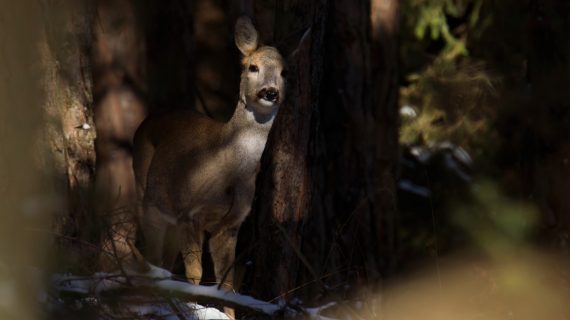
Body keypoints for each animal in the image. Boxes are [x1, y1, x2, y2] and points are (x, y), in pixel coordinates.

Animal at [134, 16, 292, 316]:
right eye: (253, 67)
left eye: (284, 72)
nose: (270, 92)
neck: (228, 168)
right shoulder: (189, 213)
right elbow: (195, 275)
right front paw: (193, 309)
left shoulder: (230, 224)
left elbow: (226, 285)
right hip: (149, 202)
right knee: (152, 258)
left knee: (164, 263)